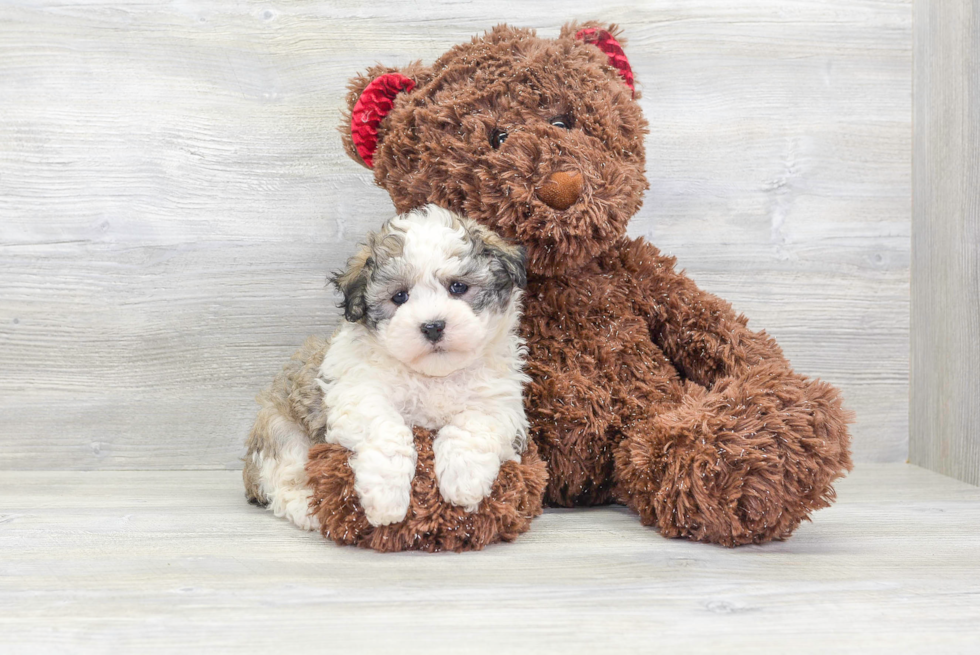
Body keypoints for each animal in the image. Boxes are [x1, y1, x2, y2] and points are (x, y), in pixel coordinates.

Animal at [242, 206, 528, 532]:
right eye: (399, 296)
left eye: (458, 287)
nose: (433, 326)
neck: (433, 376)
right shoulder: (358, 394)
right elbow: (388, 430)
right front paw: (385, 498)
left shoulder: (500, 402)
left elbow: (473, 425)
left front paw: (464, 480)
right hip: (280, 431)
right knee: (282, 482)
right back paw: (306, 506)